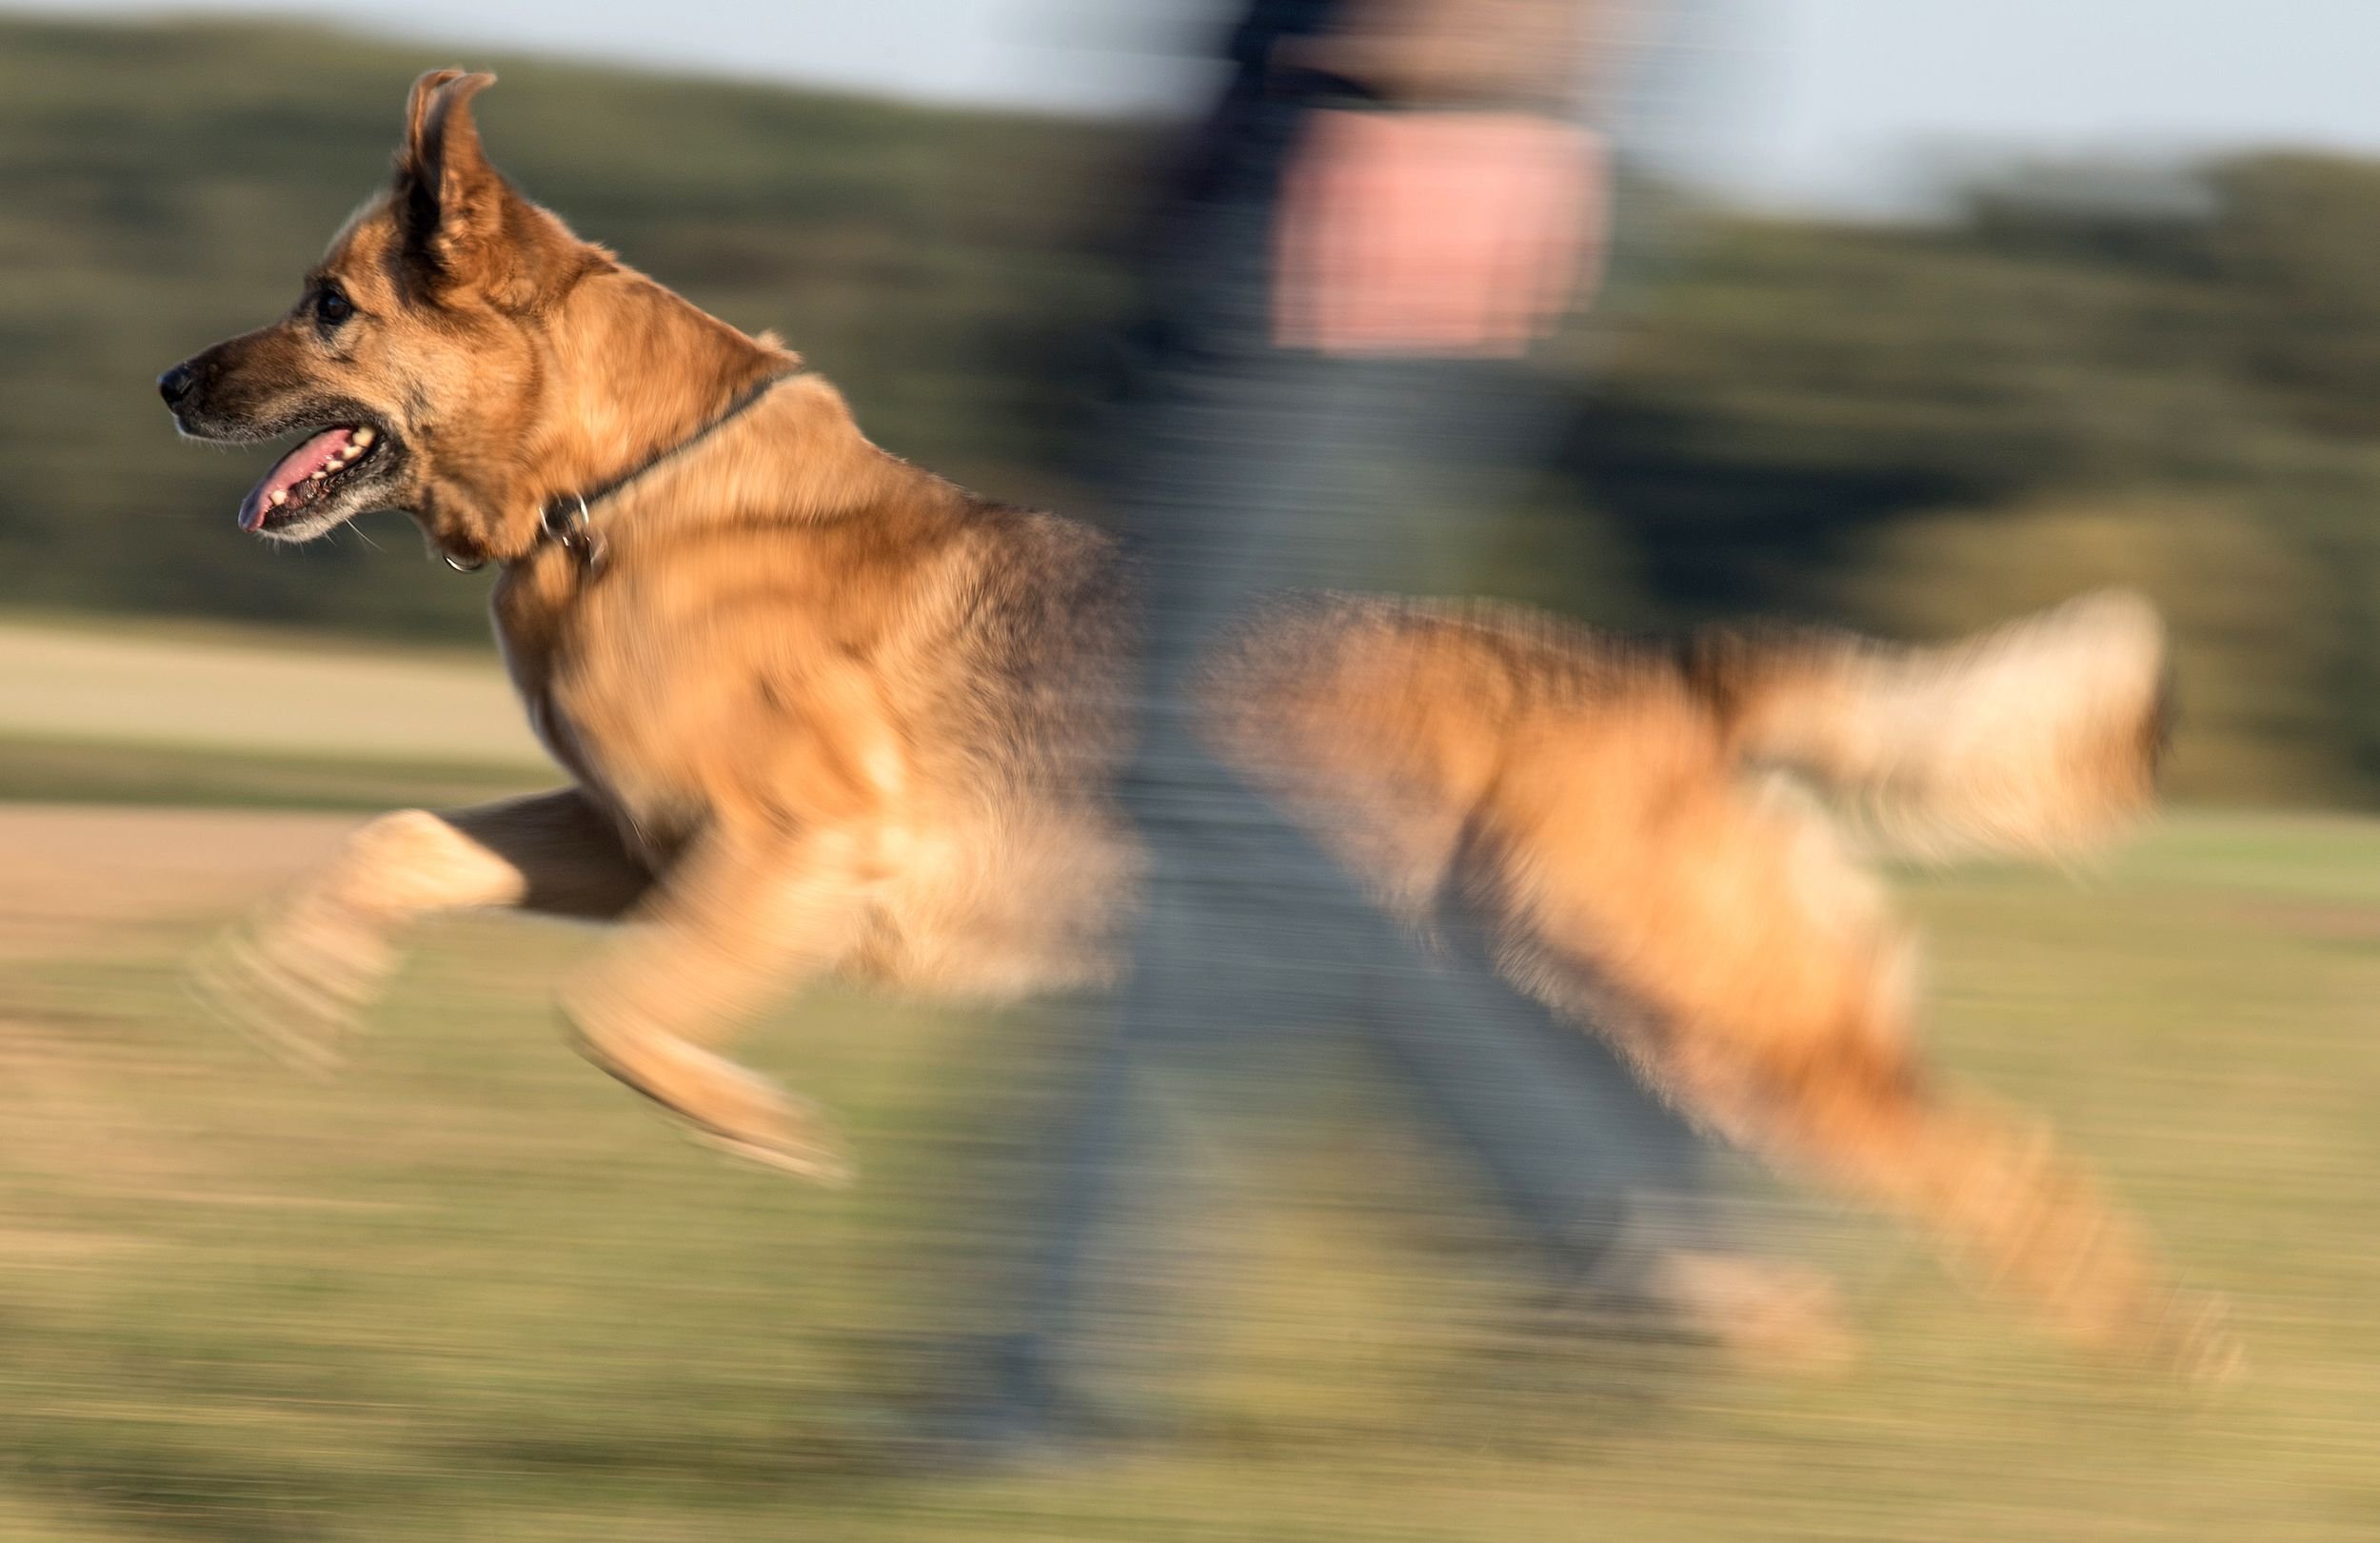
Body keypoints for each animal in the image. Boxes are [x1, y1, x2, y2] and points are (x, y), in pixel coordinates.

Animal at [163, 69, 2228, 1371]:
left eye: (326, 308)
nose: (176, 385)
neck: (623, 489)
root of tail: (1674, 678)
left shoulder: (784, 857)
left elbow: (615, 1021)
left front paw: (766, 1133)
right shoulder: (626, 839)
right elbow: (402, 845)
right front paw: (295, 990)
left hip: (1722, 1014)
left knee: (1999, 1173)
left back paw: (2154, 1375)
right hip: (1568, 1002)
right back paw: (1739, 1329)